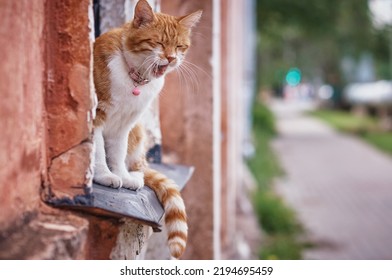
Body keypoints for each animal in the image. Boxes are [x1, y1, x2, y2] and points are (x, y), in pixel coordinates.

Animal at [93, 0, 201, 258]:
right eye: (159, 43)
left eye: (179, 46)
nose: (171, 58)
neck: (134, 79)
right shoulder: (97, 117)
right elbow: (99, 153)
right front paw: (104, 176)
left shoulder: (124, 126)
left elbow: (117, 154)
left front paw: (121, 176)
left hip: (138, 131)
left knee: (135, 164)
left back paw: (133, 175)